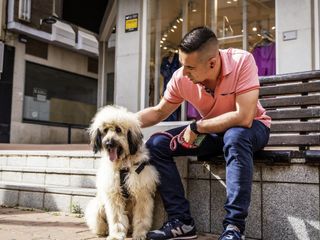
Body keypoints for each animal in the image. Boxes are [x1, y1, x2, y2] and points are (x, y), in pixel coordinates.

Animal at [85, 106, 159, 240]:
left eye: (118, 130)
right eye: (105, 130)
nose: (108, 143)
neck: (123, 165)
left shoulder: (142, 194)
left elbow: (142, 217)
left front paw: (140, 233)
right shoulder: (114, 195)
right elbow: (116, 218)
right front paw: (116, 235)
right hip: (98, 206)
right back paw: (103, 231)